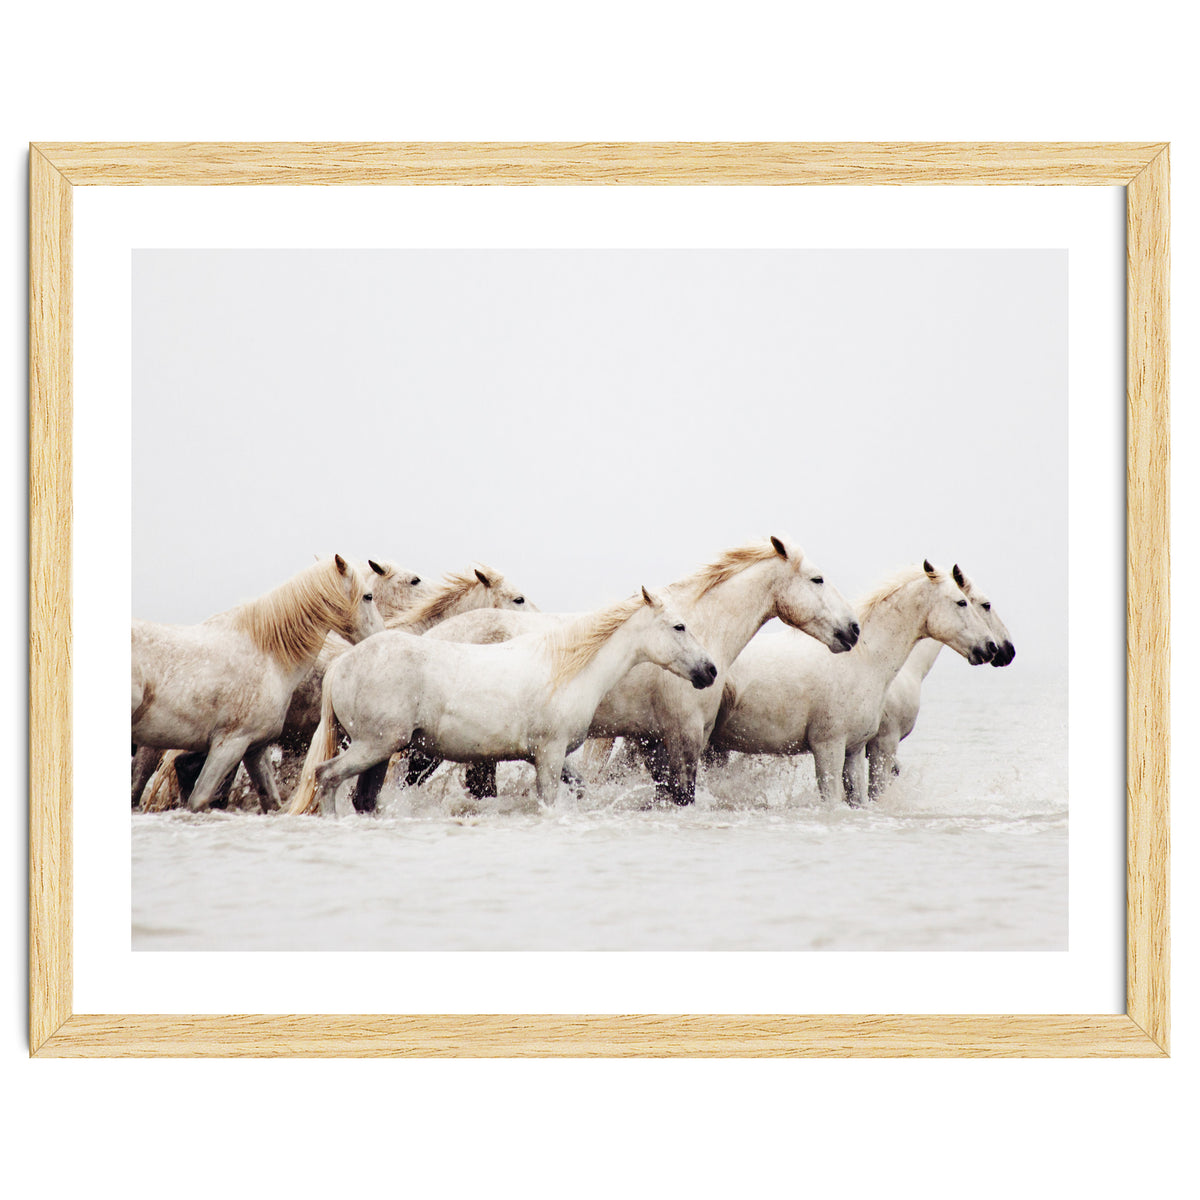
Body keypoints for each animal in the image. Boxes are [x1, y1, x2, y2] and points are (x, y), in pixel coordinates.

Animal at [131, 555, 382, 813]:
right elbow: (199, 799)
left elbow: (270, 800)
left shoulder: (254, 748)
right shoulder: (229, 745)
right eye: (368, 596)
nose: (380, 635)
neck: (268, 654)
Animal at [286, 587, 719, 815]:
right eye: (679, 626)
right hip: (374, 745)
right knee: (327, 776)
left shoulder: (550, 757)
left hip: (380, 751)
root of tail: (342, 663)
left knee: (363, 797)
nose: (710, 671)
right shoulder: (549, 754)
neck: (566, 668)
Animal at [416, 536, 860, 805]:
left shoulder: (652, 742)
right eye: (817, 579)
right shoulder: (682, 737)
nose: (853, 630)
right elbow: (682, 795)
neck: (700, 628)